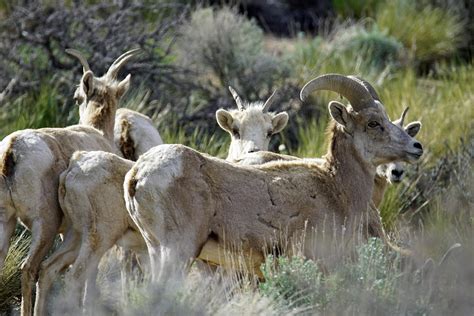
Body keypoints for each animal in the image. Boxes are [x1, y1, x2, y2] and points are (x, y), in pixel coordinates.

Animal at [0, 47, 139, 316]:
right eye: (77, 98)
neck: (96, 132)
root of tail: (11, 150)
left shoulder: (71, 233)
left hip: (6, 221)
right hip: (45, 225)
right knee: (29, 268)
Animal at [124, 73, 424, 278]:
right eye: (373, 123)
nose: (416, 147)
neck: (334, 188)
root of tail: (137, 176)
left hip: (155, 252)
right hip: (177, 253)